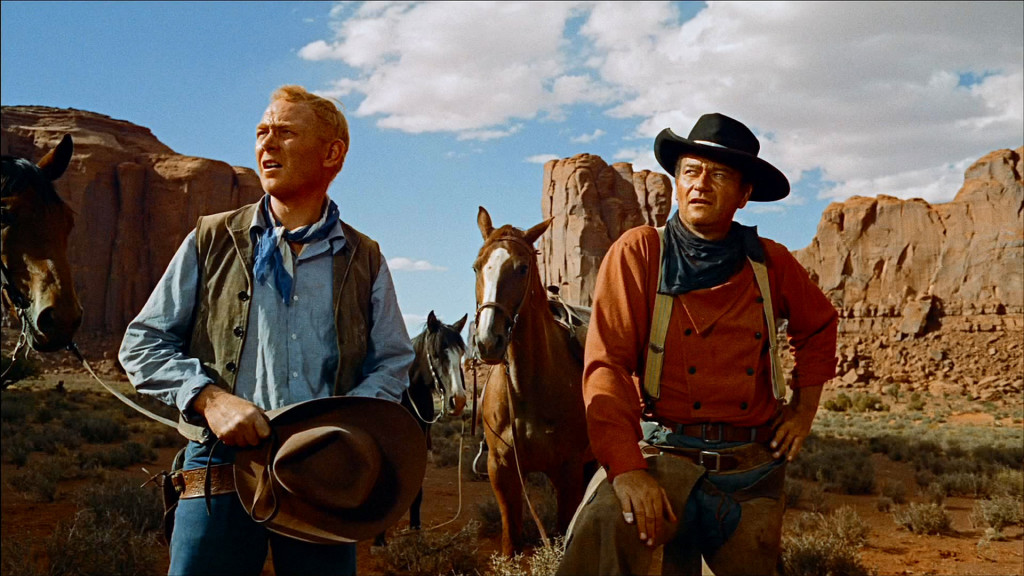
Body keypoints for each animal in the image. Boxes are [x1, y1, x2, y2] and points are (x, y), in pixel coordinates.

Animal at [376, 309, 468, 541]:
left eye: (461, 353)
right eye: (436, 354)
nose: (458, 400)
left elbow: (417, 492)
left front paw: (415, 530)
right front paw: (379, 540)